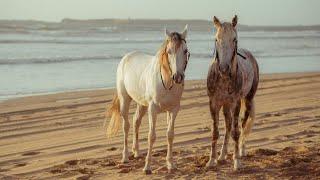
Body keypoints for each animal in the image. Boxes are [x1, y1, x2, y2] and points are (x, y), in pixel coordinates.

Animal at [106, 25, 189, 173]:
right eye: (169, 51)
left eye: (185, 51)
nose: (178, 77)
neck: (166, 81)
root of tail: (127, 56)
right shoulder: (153, 109)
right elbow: (152, 136)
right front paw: (147, 167)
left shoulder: (173, 110)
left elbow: (170, 135)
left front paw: (170, 164)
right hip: (125, 100)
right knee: (126, 125)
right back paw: (125, 156)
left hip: (142, 104)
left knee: (136, 121)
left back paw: (137, 152)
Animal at [206, 15, 258, 170]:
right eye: (216, 39)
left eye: (234, 39)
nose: (223, 68)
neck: (223, 78)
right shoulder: (214, 103)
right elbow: (215, 132)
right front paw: (211, 160)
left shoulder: (235, 103)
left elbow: (236, 132)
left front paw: (237, 162)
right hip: (225, 105)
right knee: (228, 125)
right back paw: (222, 155)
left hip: (247, 100)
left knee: (242, 126)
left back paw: (241, 151)